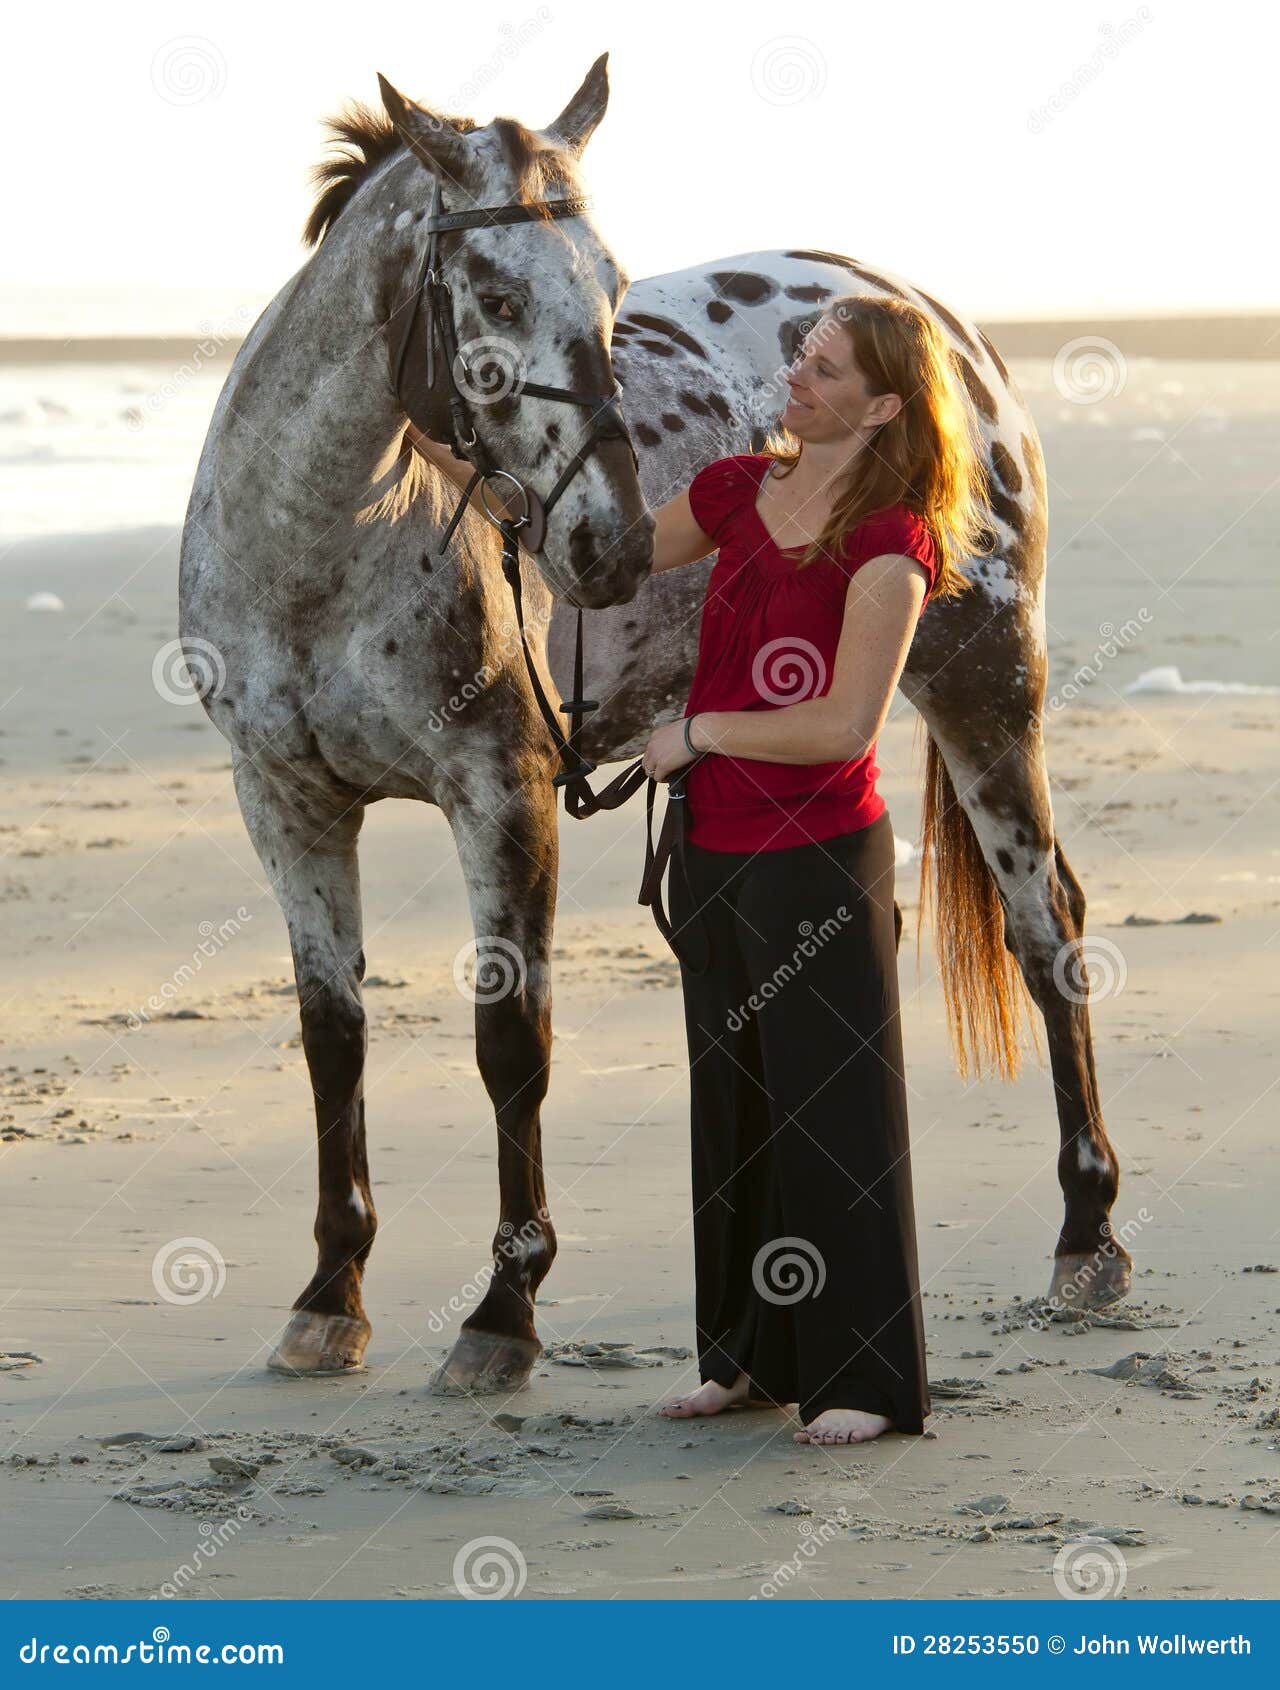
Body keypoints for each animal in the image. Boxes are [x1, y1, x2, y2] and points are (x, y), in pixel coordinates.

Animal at [179, 52, 1129, 1397]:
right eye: (490, 294)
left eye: (614, 286)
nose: (610, 543)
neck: (319, 549)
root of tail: (927, 312)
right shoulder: (287, 805)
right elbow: (334, 1039)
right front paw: (329, 1296)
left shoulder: (502, 793)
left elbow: (509, 1040)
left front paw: (502, 1312)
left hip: (983, 687)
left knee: (1046, 930)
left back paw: (1085, 1234)